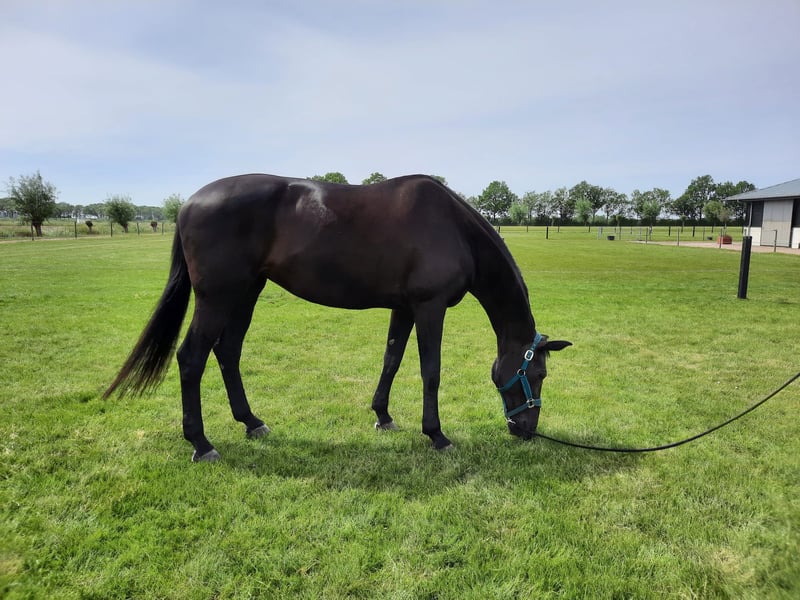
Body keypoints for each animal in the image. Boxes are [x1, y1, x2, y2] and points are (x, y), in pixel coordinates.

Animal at [104, 174, 571, 462]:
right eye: (540, 374)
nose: (526, 430)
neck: (453, 227)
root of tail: (188, 205)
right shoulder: (429, 306)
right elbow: (431, 370)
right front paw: (436, 435)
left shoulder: (404, 307)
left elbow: (392, 360)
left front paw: (383, 416)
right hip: (217, 297)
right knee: (192, 358)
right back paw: (201, 443)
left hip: (246, 293)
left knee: (228, 352)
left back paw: (252, 422)